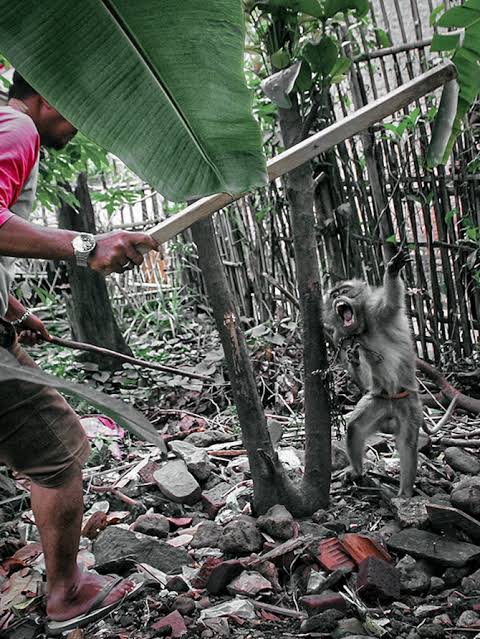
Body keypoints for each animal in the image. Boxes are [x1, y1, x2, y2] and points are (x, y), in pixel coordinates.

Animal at [322, 251, 424, 500]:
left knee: (407, 444)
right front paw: (355, 360)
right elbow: (364, 379)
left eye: (346, 291)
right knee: (355, 428)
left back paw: (405, 492)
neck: (361, 328)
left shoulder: (376, 311)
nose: (339, 299)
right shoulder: (340, 337)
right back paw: (357, 471)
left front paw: (392, 270)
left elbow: (391, 302)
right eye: (334, 295)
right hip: (379, 402)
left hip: (409, 405)